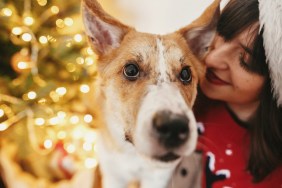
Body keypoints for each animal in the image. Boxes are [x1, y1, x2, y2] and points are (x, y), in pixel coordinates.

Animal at [81, 0, 220, 187]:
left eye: (186, 73)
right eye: (131, 70)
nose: (174, 126)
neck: (133, 154)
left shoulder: (158, 177)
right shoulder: (113, 174)